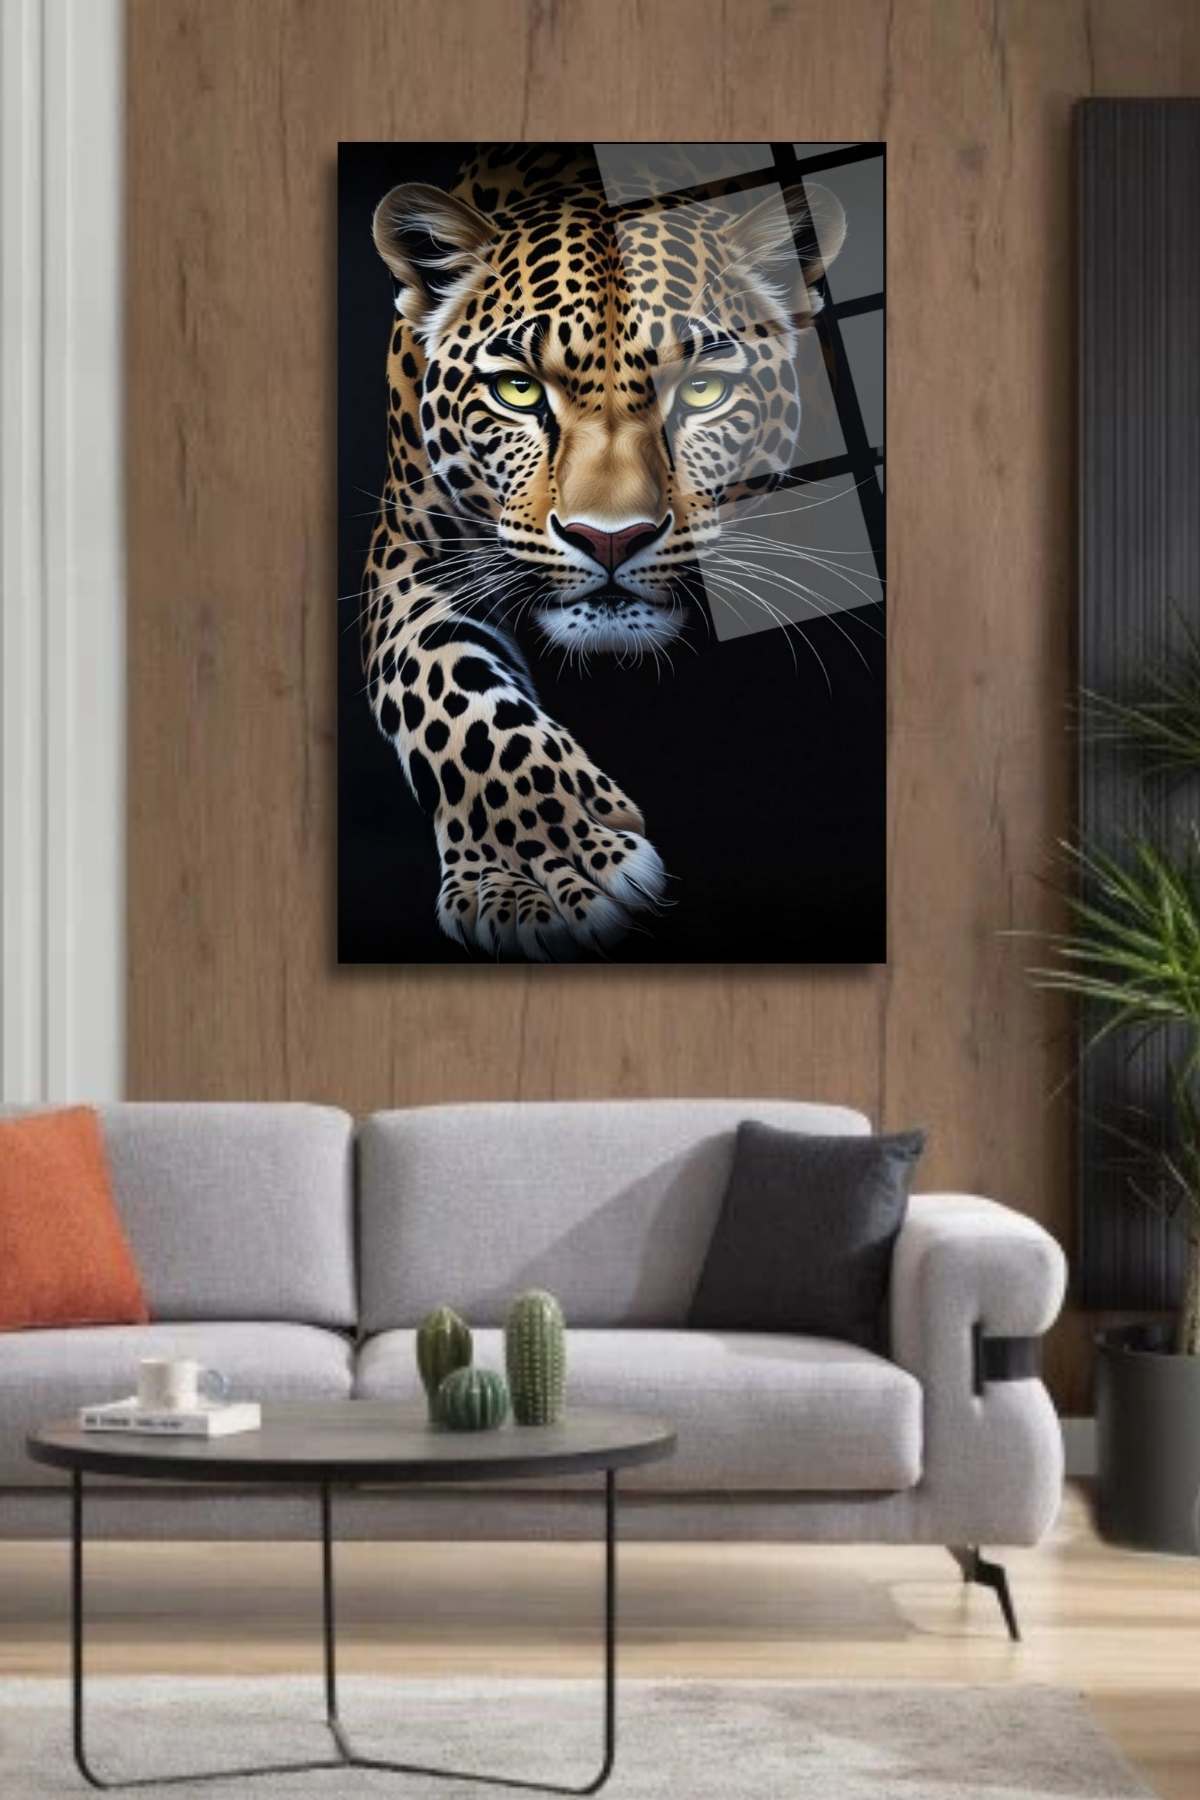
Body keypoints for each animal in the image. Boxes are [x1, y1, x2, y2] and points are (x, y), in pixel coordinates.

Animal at [357, 144, 845, 961]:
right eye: (518, 391)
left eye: (702, 390)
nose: (608, 538)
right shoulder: (408, 549)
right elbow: (448, 693)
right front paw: (539, 872)